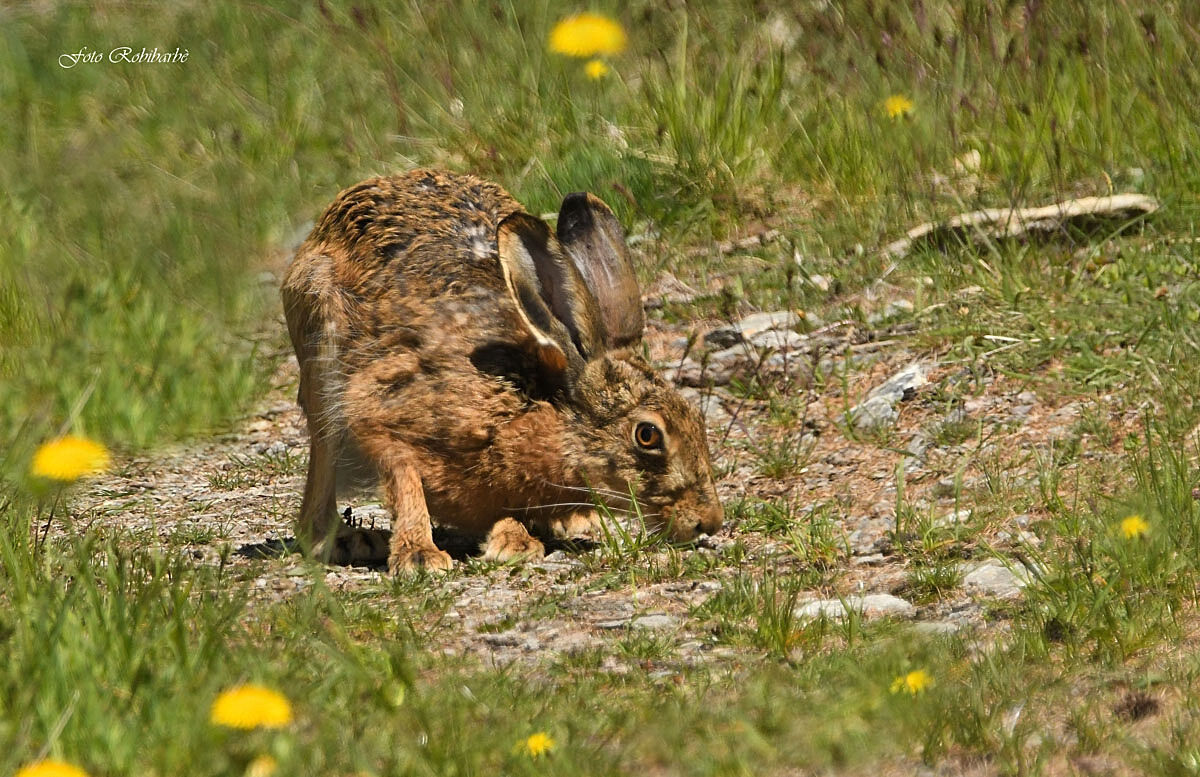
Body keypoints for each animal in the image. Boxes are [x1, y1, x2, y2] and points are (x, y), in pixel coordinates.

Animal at [281, 169, 723, 573]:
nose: (709, 522)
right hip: (319, 346)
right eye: (647, 435)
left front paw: (514, 542)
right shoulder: (382, 409)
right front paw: (421, 558)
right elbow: (405, 480)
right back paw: (342, 541)